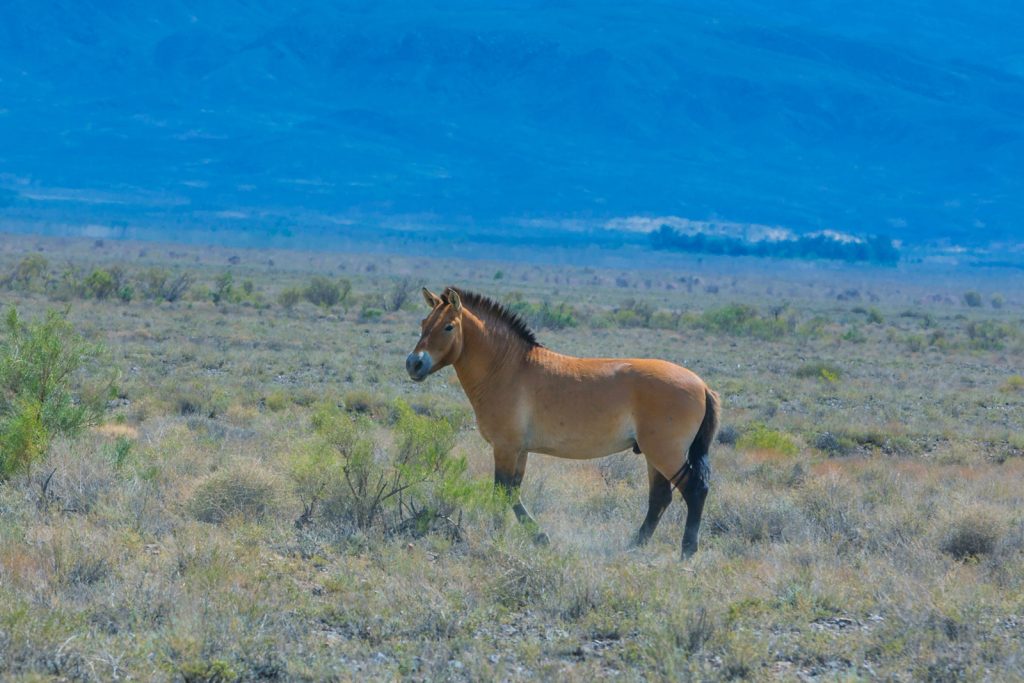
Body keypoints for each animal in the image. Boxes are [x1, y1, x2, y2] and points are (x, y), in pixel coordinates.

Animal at [407, 286, 720, 557]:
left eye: (448, 326)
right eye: (424, 322)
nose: (414, 363)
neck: (509, 368)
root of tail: (702, 385)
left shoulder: (505, 448)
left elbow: (501, 493)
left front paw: (502, 537)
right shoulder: (520, 450)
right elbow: (512, 493)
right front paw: (537, 537)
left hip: (665, 453)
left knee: (694, 491)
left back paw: (687, 551)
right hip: (653, 456)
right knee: (660, 498)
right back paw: (635, 545)